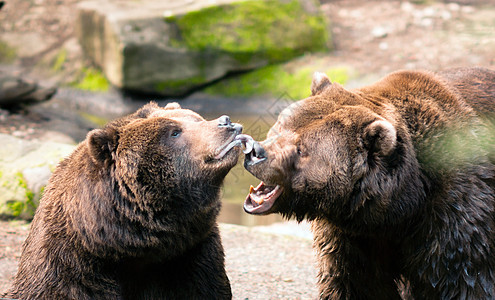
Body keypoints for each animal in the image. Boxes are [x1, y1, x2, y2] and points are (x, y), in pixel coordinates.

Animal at [242, 67, 494, 298]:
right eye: (281, 125)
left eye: (301, 149)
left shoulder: (453, 215)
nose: (255, 152)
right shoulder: (352, 237)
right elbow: (356, 282)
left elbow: (464, 279)